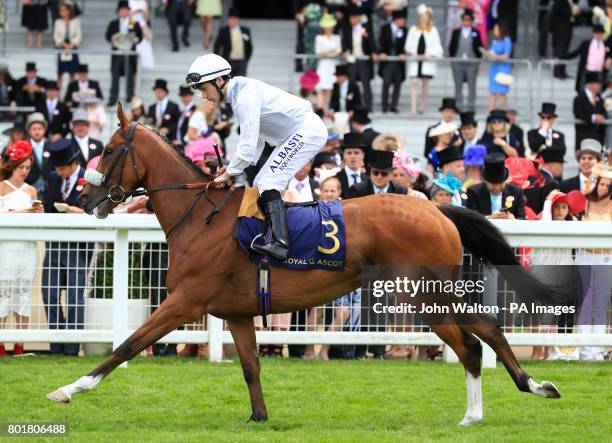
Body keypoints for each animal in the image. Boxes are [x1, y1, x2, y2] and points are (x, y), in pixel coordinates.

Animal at [47, 105, 560, 426]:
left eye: (108, 150)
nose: (85, 198)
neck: (201, 216)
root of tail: (436, 209)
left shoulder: (184, 301)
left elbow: (127, 346)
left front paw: (69, 389)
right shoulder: (236, 313)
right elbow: (251, 366)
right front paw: (258, 416)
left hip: (417, 294)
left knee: (474, 342)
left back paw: (498, 403)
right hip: (431, 293)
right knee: (484, 333)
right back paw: (514, 396)